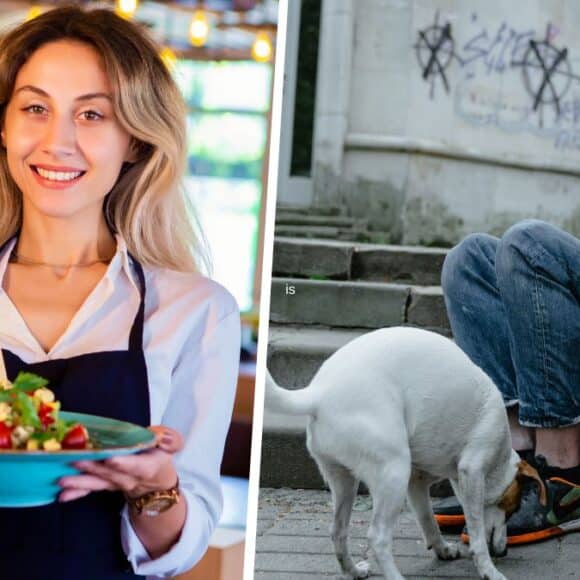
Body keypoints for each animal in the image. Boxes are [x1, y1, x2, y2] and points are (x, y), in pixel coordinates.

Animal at [266, 328, 548, 576]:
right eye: (512, 509)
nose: (504, 552)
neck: (499, 459)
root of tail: (319, 394)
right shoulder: (472, 471)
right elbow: (477, 534)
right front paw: (489, 570)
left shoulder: (417, 483)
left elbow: (428, 520)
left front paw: (442, 549)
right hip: (393, 473)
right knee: (377, 537)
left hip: (344, 481)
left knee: (337, 530)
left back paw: (354, 571)